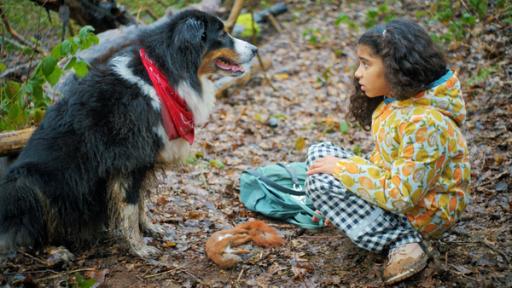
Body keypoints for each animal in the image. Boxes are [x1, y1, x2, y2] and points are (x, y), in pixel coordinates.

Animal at [0, 9, 256, 258]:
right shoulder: (129, 159)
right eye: (221, 33)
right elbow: (130, 206)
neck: (162, 76)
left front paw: (150, 228)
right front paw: (139, 248)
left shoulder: (144, 159)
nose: (255, 50)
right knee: (27, 234)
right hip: (26, 184)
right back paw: (55, 251)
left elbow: (140, 200)